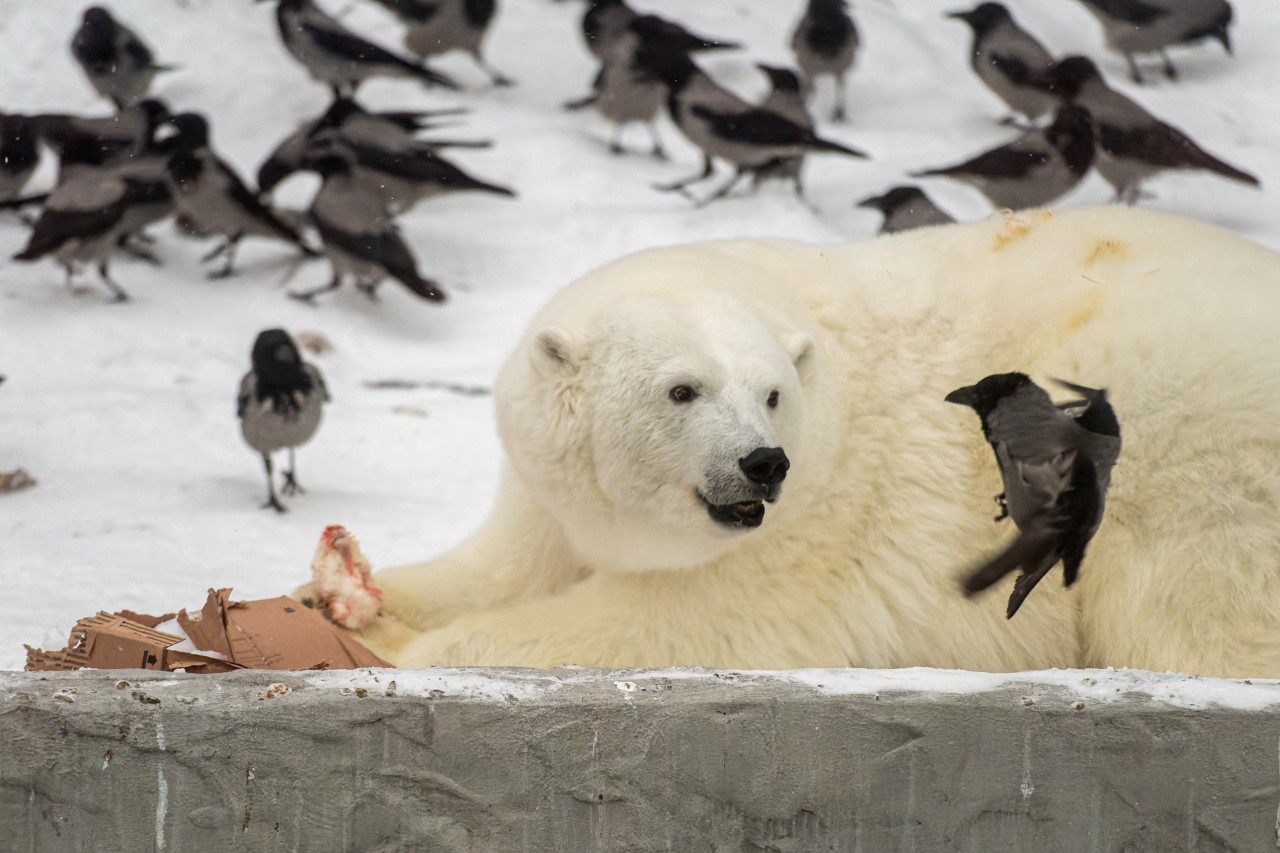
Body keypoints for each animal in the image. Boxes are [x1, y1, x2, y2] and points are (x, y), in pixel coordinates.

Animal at [340, 206, 1280, 676]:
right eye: (681, 388)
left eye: (770, 393)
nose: (763, 461)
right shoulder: (547, 487)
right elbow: (504, 564)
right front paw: (345, 584)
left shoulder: (820, 522)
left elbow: (677, 622)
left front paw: (400, 644)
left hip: (1182, 425)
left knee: (1191, 600)